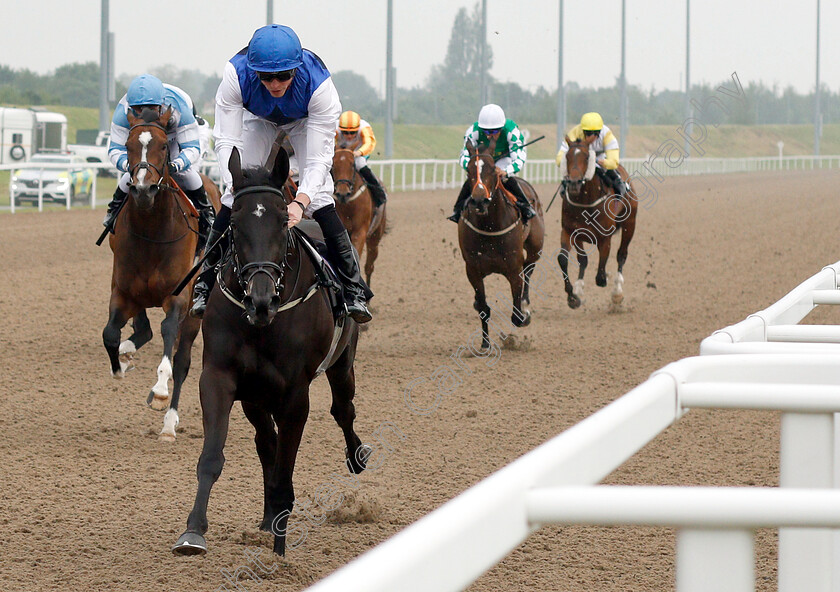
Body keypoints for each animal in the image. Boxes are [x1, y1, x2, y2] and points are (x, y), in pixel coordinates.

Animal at [103, 105, 221, 440]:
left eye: (164, 146)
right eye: (128, 145)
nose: (143, 189)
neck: (152, 231)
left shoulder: (178, 298)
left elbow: (169, 337)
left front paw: (159, 391)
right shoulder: (122, 291)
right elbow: (110, 334)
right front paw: (121, 364)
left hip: (195, 311)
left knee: (182, 360)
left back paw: (169, 422)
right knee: (141, 330)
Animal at [174, 147, 370, 556]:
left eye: (282, 223)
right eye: (234, 224)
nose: (261, 300)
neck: (263, 324)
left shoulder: (295, 394)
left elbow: (285, 467)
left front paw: (280, 554)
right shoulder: (219, 378)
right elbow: (213, 457)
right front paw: (193, 531)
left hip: (342, 363)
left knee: (343, 410)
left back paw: (357, 456)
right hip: (255, 395)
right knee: (266, 441)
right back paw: (268, 519)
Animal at [334, 148, 388, 286]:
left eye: (352, 165)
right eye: (333, 165)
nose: (342, 193)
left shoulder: (360, 232)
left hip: (375, 237)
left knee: (369, 267)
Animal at [456, 139, 548, 350]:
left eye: (492, 169)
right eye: (469, 170)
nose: (479, 200)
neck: (490, 226)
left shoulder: (514, 269)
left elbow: (517, 315)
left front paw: (524, 314)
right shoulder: (473, 270)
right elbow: (483, 308)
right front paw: (485, 344)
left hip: (535, 249)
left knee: (529, 269)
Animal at [556, 135, 636, 310]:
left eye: (587, 157)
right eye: (567, 156)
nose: (574, 183)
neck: (585, 201)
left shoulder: (604, 237)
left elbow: (600, 273)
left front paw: (605, 279)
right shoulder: (570, 231)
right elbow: (567, 259)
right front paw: (573, 295)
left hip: (630, 225)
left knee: (622, 254)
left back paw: (617, 292)